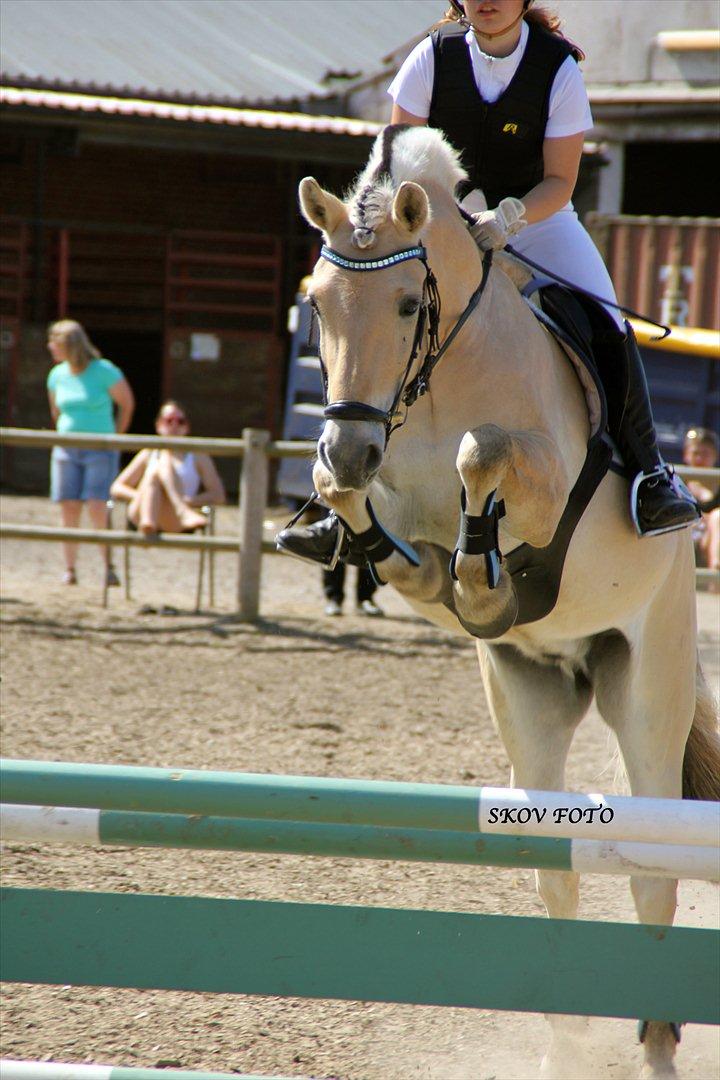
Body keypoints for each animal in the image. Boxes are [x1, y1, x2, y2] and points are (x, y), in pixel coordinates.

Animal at [296, 124, 719, 1078]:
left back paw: (657, 1043)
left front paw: (480, 566)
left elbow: (482, 453)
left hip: (647, 689)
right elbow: (366, 521)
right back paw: (565, 1041)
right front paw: (442, 574)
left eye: (407, 305)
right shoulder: (374, 485)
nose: (348, 445)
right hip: (531, 696)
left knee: (652, 869)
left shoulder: (542, 480)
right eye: (317, 304)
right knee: (556, 868)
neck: (430, 390)